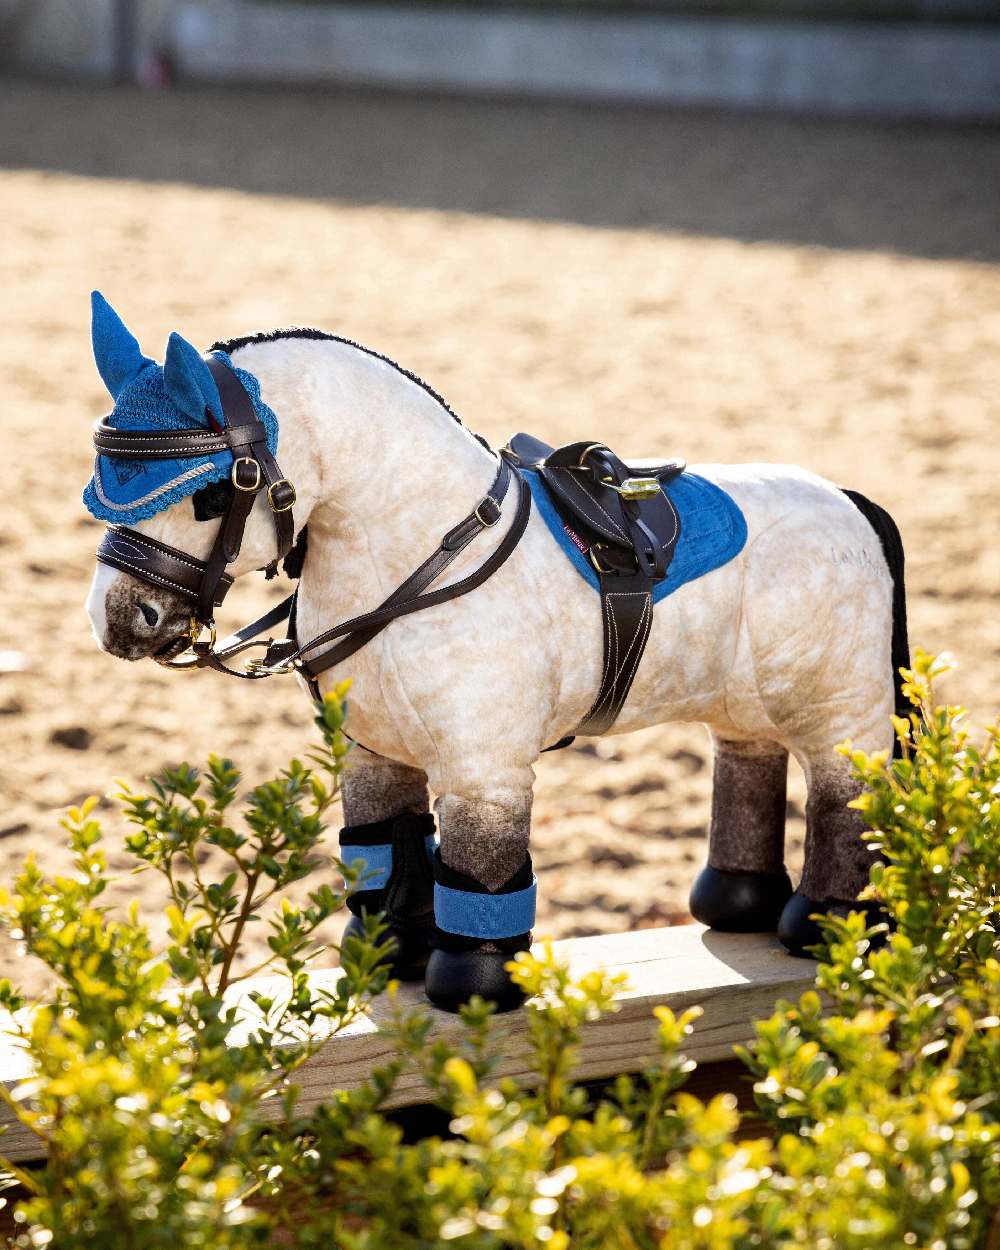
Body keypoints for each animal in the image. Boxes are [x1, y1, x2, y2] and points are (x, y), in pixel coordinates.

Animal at [83, 293, 907, 1012]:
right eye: (100, 485)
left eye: (212, 494)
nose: (119, 621)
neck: (419, 552)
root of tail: (847, 499)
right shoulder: (374, 755)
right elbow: (388, 851)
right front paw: (389, 958)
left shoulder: (485, 772)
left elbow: (481, 873)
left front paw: (473, 988)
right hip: (748, 701)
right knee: (749, 759)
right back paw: (737, 903)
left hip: (843, 712)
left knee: (843, 795)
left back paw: (830, 924)